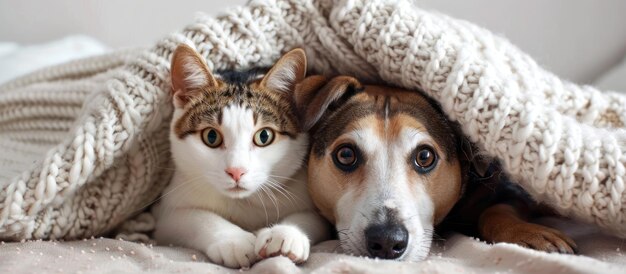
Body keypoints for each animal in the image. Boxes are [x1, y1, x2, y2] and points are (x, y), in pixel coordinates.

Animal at [154, 45, 330, 270]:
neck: (244, 203)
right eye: (211, 137)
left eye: (264, 136)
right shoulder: (167, 211)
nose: (236, 171)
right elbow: (192, 217)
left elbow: (312, 218)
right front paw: (234, 241)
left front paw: (285, 234)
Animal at [292, 75, 576, 262]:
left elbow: (496, 211)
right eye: (346, 154)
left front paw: (531, 233)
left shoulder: (507, 190)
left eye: (425, 156)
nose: (387, 241)